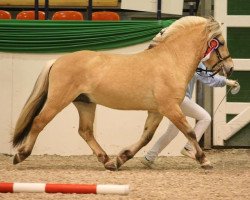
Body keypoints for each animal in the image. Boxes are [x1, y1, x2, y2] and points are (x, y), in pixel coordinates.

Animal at [12, 16, 234, 171]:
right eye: (221, 42)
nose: (230, 68)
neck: (171, 60)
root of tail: (57, 61)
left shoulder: (157, 111)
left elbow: (146, 137)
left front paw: (121, 159)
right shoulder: (170, 108)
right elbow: (189, 132)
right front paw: (204, 160)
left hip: (85, 103)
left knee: (85, 131)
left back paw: (107, 160)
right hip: (59, 100)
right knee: (39, 122)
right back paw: (20, 155)